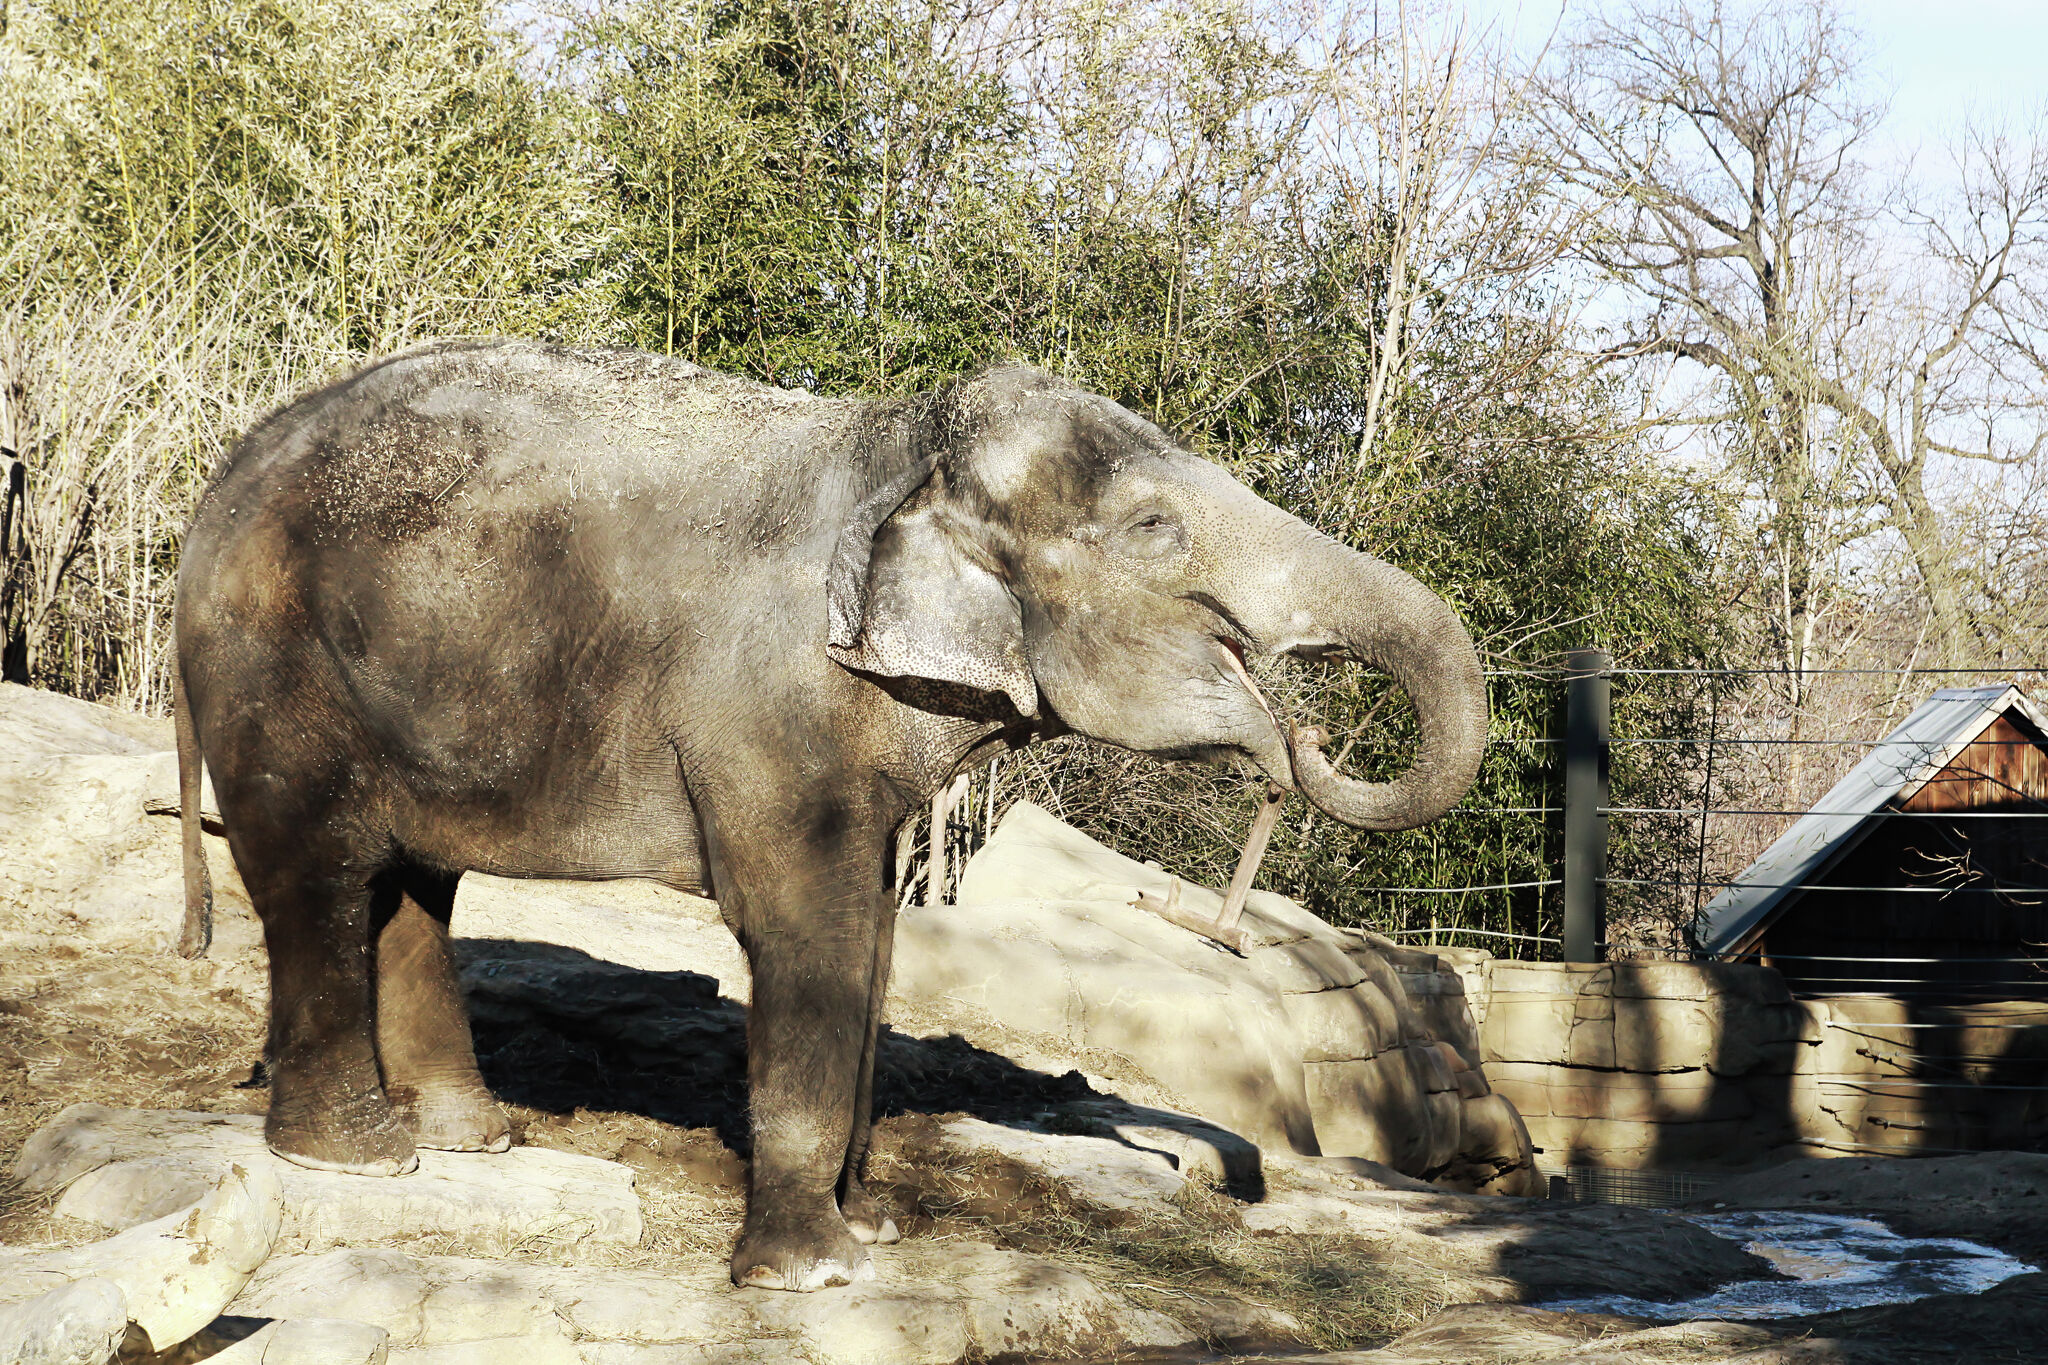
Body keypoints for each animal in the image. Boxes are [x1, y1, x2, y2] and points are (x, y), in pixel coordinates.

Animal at [171, 340, 1487, 1291]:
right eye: (1154, 529)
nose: (1302, 742)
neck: (898, 447)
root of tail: (222, 477)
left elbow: (876, 938)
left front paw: (881, 1230)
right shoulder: (766, 707)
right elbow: (808, 930)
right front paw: (815, 1275)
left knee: (414, 886)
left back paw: (471, 1140)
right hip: (273, 669)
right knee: (320, 875)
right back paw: (361, 1157)